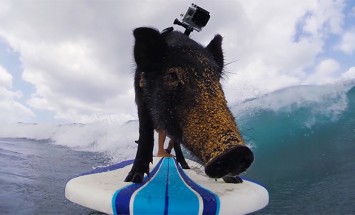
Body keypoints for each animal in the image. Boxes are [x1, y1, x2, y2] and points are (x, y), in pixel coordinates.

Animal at [125, 27, 253, 183]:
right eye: (172, 75)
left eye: (217, 77)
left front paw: (236, 180)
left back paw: (185, 166)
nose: (236, 152)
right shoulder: (141, 101)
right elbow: (145, 135)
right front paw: (133, 179)